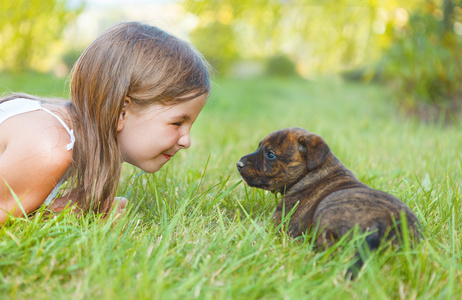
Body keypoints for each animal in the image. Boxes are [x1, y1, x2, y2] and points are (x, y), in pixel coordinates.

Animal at [238, 127, 422, 262]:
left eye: (270, 154)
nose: (238, 164)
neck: (311, 173)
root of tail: (386, 225)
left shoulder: (278, 222)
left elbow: (255, 224)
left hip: (327, 208)